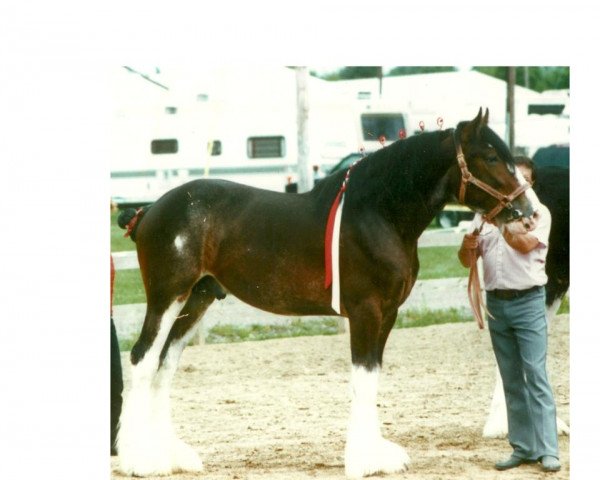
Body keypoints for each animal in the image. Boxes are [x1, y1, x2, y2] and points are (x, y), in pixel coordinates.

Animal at [115, 110, 536, 478]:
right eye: (491, 157)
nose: (529, 211)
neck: (378, 212)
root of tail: (149, 210)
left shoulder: (387, 314)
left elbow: (373, 375)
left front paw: (377, 454)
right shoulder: (366, 311)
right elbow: (362, 378)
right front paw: (363, 461)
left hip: (197, 299)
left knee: (165, 364)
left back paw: (170, 457)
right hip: (167, 297)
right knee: (142, 360)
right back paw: (139, 461)